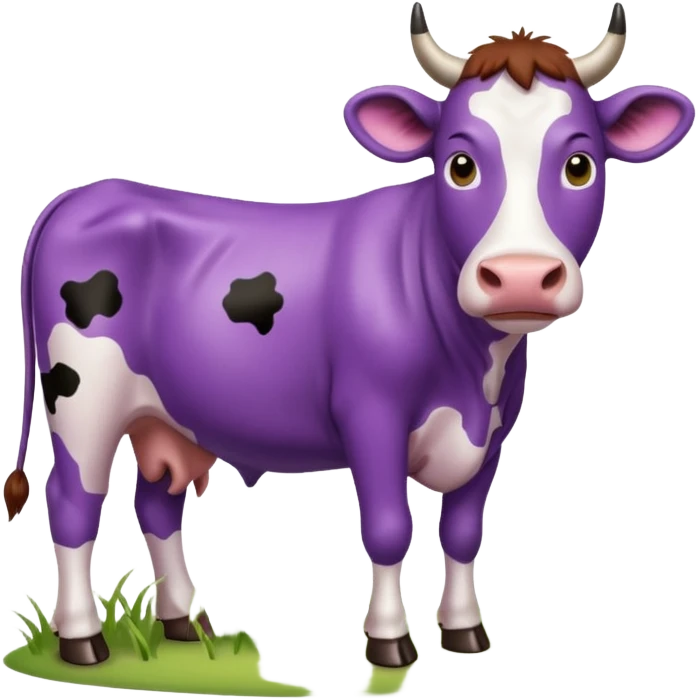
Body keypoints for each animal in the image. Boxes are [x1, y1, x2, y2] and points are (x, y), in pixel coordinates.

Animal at [5, 1, 695, 668]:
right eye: (461, 164)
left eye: (580, 164)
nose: (521, 277)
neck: (473, 368)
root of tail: (82, 196)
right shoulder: (372, 412)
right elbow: (390, 528)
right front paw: (389, 643)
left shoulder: (495, 428)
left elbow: (463, 530)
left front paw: (465, 631)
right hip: (82, 401)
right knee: (71, 502)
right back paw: (82, 640)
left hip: (168, 416)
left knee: (156, 504)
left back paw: (186, 623)